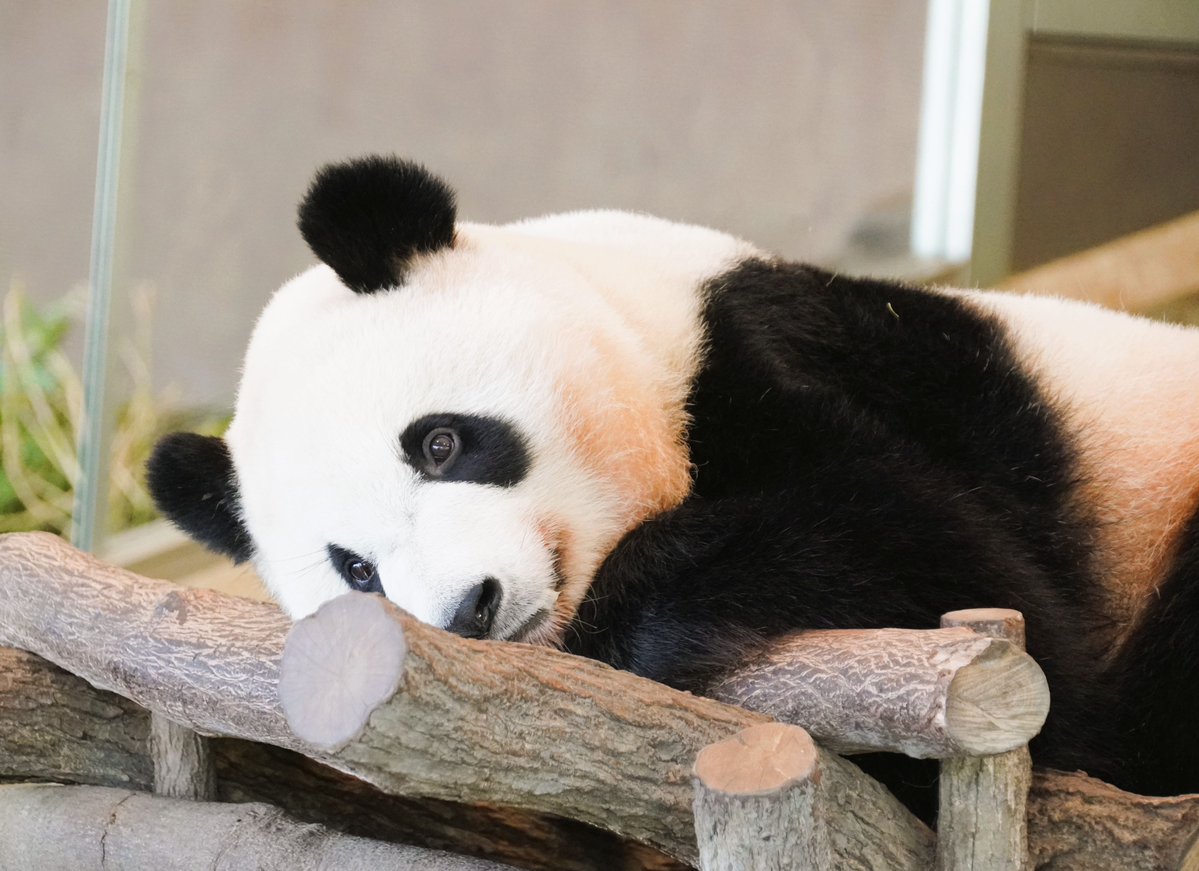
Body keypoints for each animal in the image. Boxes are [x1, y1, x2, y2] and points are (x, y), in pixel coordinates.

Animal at [147, 155, 1199, 811]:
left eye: (440, 443)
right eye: (356, 570)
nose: (469, 610)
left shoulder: (798, 353)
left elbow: (968, 574)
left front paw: (636, 618)